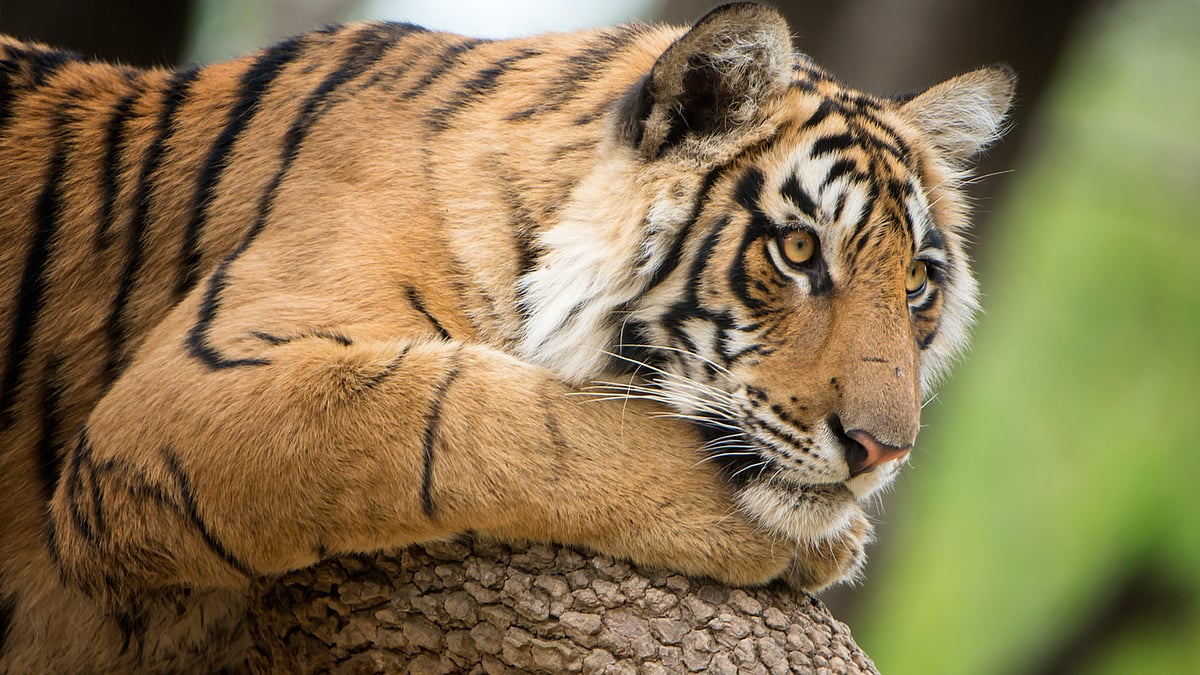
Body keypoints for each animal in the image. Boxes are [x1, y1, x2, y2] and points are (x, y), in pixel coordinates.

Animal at [0, 2, 1013, 671]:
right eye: (798, 250)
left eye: (917, 283)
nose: (882, 450)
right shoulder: (182, 397)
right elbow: (473, 416)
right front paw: (808, 536)